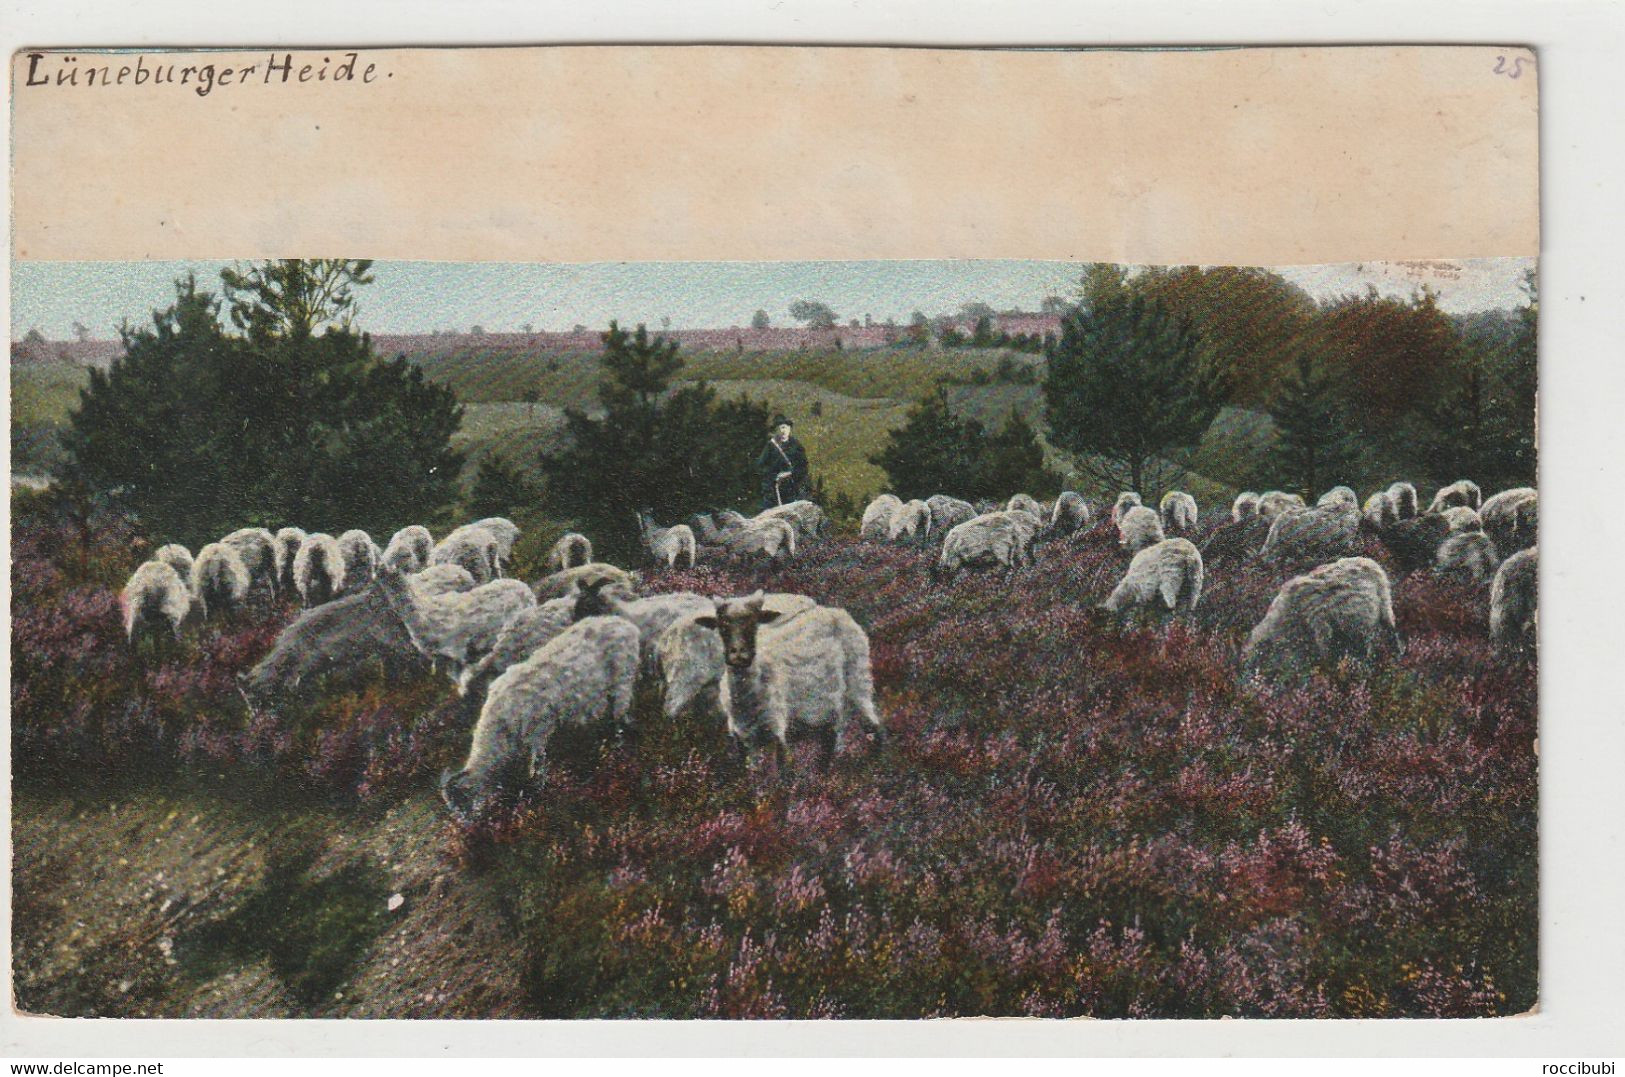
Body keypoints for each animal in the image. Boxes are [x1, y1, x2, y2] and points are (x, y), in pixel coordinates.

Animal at [448, 614, 650, 825]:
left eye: (463, 803)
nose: (463, 827)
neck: (499, 726)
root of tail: (624, 624)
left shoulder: (539, 731)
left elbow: (538, 766)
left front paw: (539, 794)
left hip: (622, 682)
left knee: (621, 720)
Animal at [692, 591, 884, 776]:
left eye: (754, 623)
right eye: (722, 626)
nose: (738, 654)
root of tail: (834, 611)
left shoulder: (778, 727)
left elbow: (784, 771)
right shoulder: (742, 737)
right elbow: (747, 775)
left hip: (859, 681)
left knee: (874, 728)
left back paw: (876, 769)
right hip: (828, 711)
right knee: (828, 745)